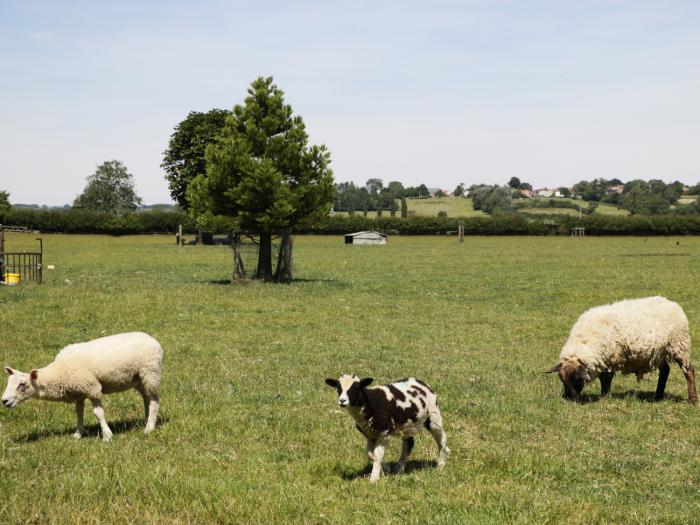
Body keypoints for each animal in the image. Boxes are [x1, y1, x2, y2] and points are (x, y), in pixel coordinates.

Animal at [2, 332, 163, 438]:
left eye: (22, 384)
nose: (4, 401)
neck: (59, 373)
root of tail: (153, 340)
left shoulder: (92, 388)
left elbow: (98, 413)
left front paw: (107, 435)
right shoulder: (78, 391)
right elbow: (79, 413)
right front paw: (78, 434)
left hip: (150, 373)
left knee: (154, 400)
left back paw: (149, 428)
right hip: (138, 378)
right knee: (147, 398)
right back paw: (148, 420)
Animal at [548, 296, 696, 404]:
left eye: (577, 378)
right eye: (562, 379)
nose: (570, 400)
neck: (584, 341)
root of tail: (673, 304)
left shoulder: (610, 358)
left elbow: (606, 379)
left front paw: (604, 396)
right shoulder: (604, 359)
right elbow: (604, 378)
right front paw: (604, 395)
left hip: (679, 346)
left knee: (689, 371)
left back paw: (692, 400)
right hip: (659, 352)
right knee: (665, 371)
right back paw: (658, 396)